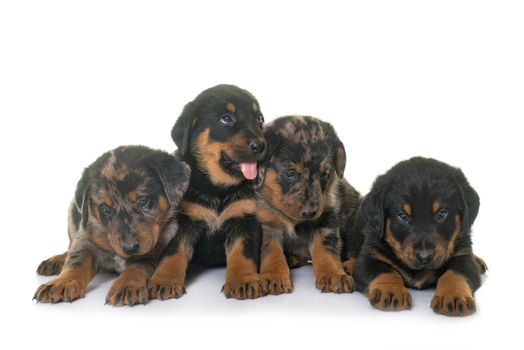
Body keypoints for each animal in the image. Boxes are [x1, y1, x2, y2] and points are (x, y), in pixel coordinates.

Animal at [33, 146, 188, 304]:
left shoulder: (153, 249)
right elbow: (76, 262)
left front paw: (126, 286)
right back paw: (55, 260)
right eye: (105, 209)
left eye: (143, 201)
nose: (130, 248)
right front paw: (61, 283)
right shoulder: (86, 238)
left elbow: (136, 266)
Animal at [147, 83, 268, 300]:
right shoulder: (184, 221)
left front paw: (243, 280)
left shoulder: (244, 219)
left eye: (259, 118)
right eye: (226, 118)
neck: (218, 190)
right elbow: (174, 253)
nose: (260, 145)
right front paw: (165, 280)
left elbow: (241, 253)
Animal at [254, 117, 360, 296]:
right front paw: (274, 276)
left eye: (324, 174)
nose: (310, 212)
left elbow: (326, 249)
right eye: (290, 173)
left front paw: (334, 275)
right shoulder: (267, 224)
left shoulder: (325, 219)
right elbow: (271, 252)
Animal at [350, 157, 486, 316]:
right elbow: (384, 271)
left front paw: (453, 295)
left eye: (442, 213)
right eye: (403, 215)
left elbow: (455, 274)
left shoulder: (463, 256)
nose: (424, 256)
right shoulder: (370, 256)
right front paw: (391, 291)